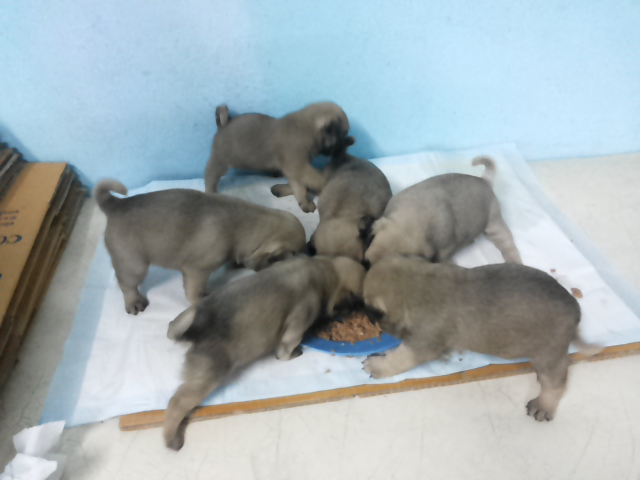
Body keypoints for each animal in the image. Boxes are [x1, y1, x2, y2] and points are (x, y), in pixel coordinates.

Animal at [94, 180, 306, 314]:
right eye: (292, 253)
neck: (242, 224)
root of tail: (116, 205)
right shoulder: (197, 270)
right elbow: (194, 290)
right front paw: (200, 300)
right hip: (135, 265)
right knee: (126, 284)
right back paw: (134, 302)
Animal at [163, 255, 366, 450]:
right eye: (354, 304)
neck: (325, 271)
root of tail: (195, 329)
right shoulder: (301, 318)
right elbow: (286, 348)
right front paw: (292, 354)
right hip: (206, 378)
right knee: (177, 403)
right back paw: (172, 439)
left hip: (185, 318)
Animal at [204, 102, 350, 213]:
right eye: (338, 139)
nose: (340, 147)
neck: (308, 128)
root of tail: (224, 125)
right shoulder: (299, 167)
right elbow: (315, 179)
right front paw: (325, 183)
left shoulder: (294, 170)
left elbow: (300, 189)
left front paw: (304, 202)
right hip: (220, 160)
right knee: (210, 175)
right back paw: (210, 191)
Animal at [362, 256, 601, 421]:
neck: (418, 286)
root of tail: (575, 310)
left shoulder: (420, 345)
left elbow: (398, 359)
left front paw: (376, 365)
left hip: (548, 356)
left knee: (556, 384)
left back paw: (543, 405)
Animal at [364, 156, 522, 265]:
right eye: (372, 239)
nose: (367, 262)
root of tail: (485, 181)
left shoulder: (443, 253)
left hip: (494, 225)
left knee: (508, 245)